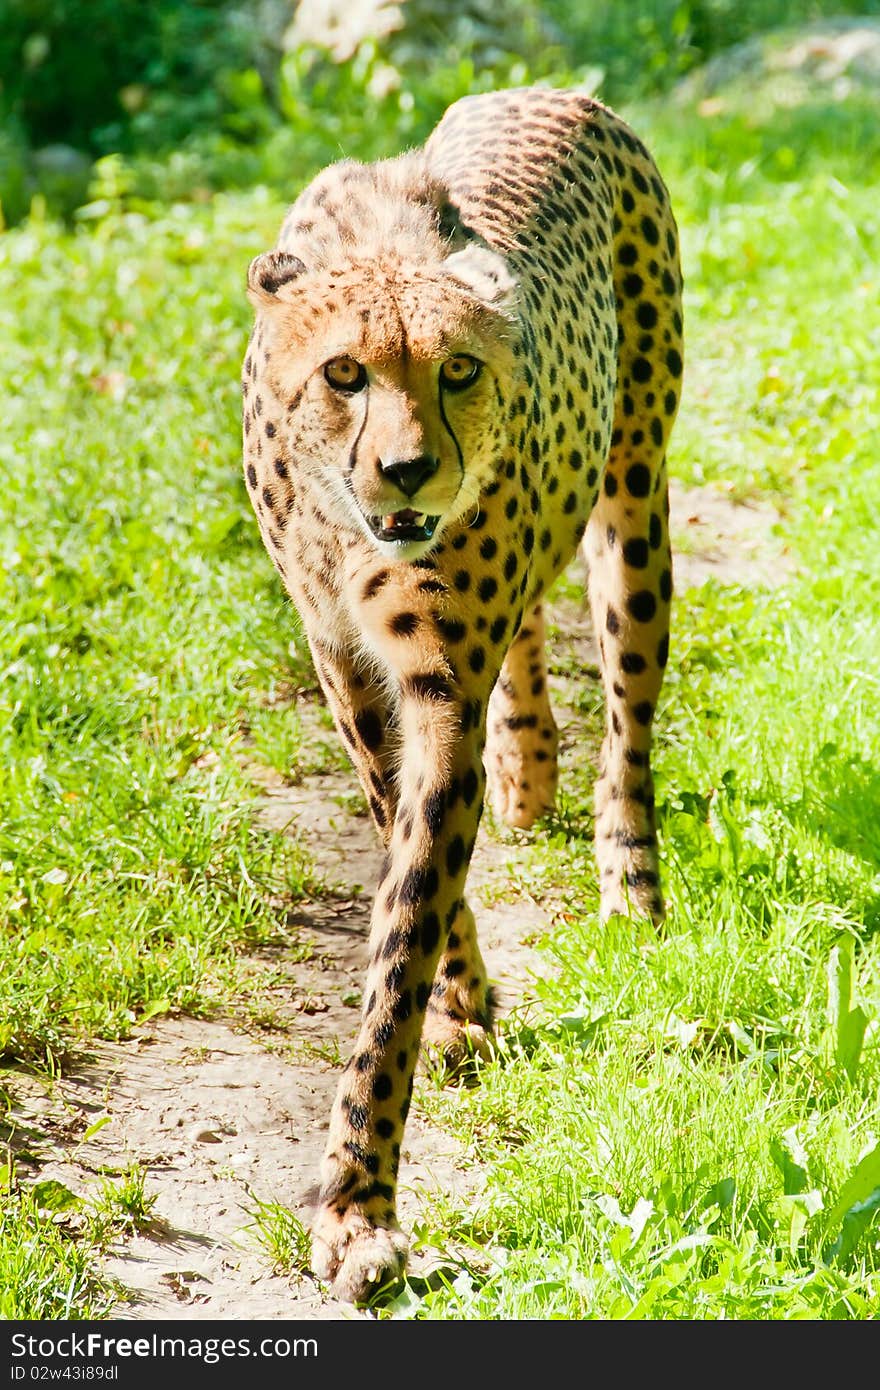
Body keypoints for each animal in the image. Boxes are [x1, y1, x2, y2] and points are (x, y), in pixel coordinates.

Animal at [240, 86, 678, 1301]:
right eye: (344, 373)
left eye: (460, 372)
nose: (408, 472)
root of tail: (552, 90)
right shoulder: (344, 665)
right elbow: (409, 854)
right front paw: (464, 1007)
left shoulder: (435, 688)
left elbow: (403, 929)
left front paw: (356, 1212)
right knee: (530, 631)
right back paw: (528, 770)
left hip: (636, 503)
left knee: (628, 714)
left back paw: (630, 887)